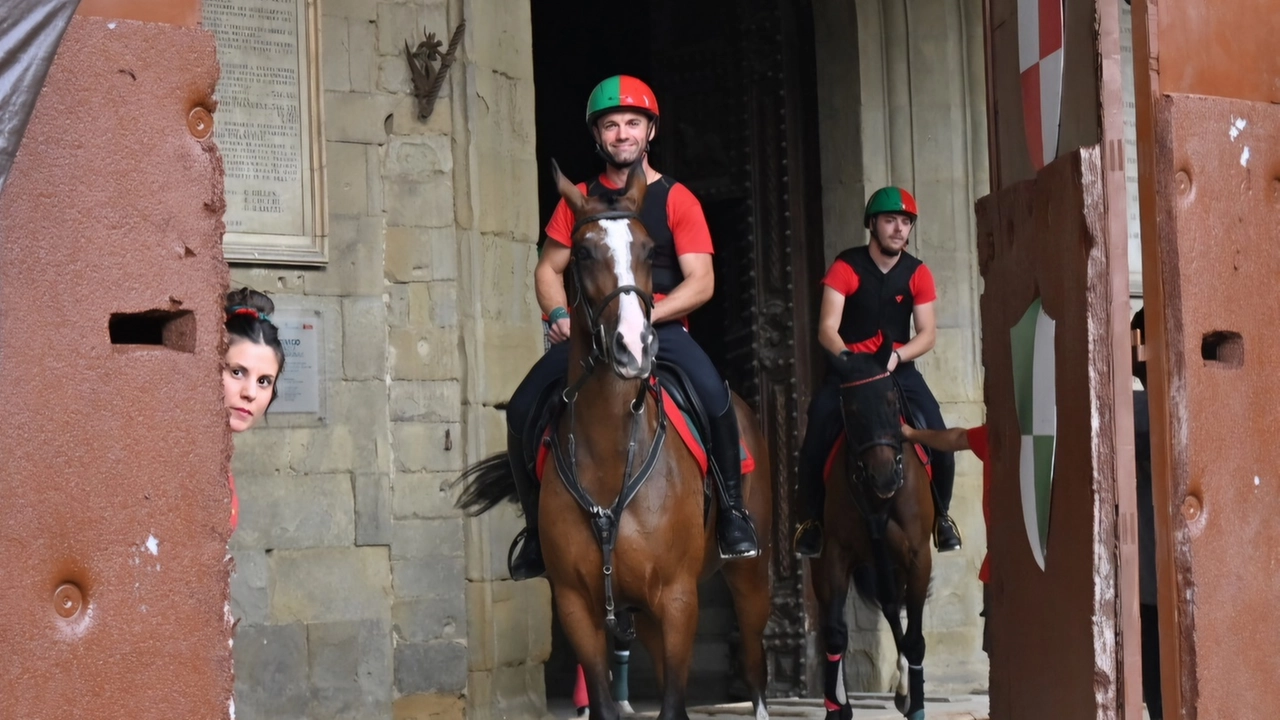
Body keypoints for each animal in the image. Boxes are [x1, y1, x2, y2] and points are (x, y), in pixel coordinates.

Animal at [814, 351, 936, 717]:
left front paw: (916, 703)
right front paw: (836, 704)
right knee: (887, 608)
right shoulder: (836, 553)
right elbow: (835, 632)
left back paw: (906, 689)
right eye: (852, 410)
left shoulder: (917, 556)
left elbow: (914, 638)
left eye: (892, 400)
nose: (885, 477)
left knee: (896, 611)